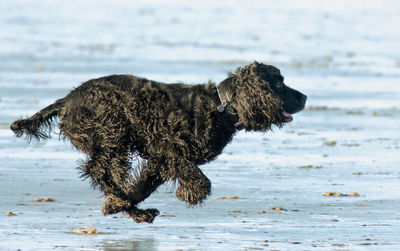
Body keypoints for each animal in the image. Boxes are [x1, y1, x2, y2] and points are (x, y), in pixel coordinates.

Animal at [11, 61, 306, 223]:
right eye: (278, 84)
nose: (304, 98)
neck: (221, 107)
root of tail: (66, 101)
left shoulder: (160, 160)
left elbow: (142, 186)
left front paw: (116, 204)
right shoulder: (169, 149)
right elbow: (200, 180)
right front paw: (189, 193)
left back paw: (130, 208)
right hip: (113, 132)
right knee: (97, 170)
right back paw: (128, 206)